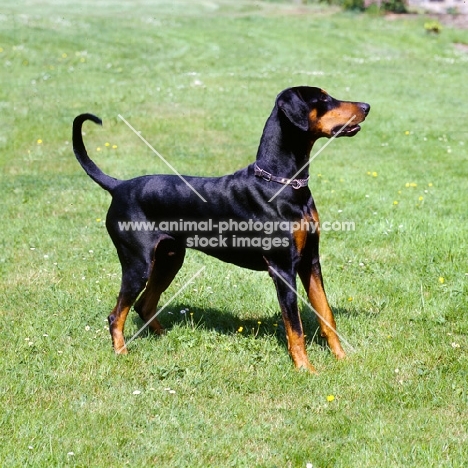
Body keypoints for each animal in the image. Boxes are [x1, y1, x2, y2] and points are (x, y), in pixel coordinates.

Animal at [73, 86, 372, 372]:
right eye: (322, 98)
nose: (367, 106)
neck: (282, 183)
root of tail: (118, 186)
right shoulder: (283, 268)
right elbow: (295, 327)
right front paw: (305, 369)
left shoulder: (310, 261)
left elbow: (327, 314)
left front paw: (342, 358)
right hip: (138, 265)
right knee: (117, 314)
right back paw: (122, 352)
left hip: (170, 259)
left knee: (144, 305)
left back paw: (164, 338)